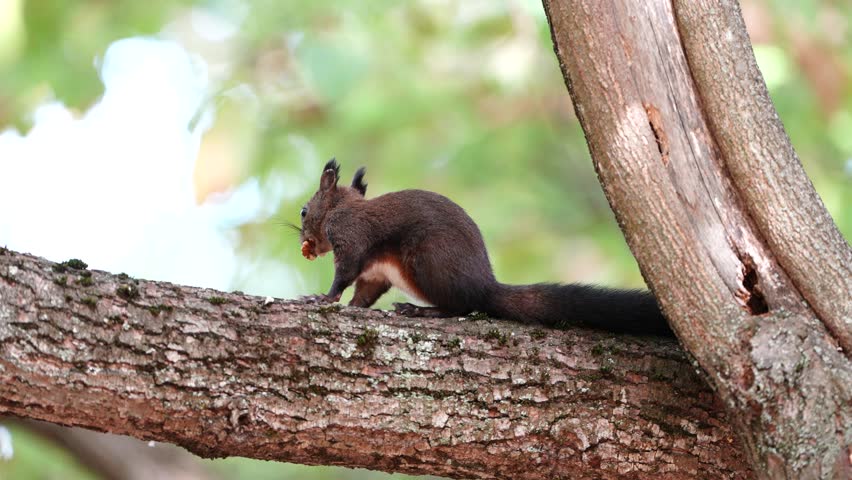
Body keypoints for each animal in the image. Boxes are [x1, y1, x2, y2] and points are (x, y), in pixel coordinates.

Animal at [298, 159, 672, 336]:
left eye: (303, 211)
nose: (305, 242)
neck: (341, 208)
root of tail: (484, 284)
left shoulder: (351, 238)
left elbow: (343, 276)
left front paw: (323, 299)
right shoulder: (376, 273)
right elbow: (365, 293)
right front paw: (353, 307)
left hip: (429, 261)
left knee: (464, 306)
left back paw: (422, 311)